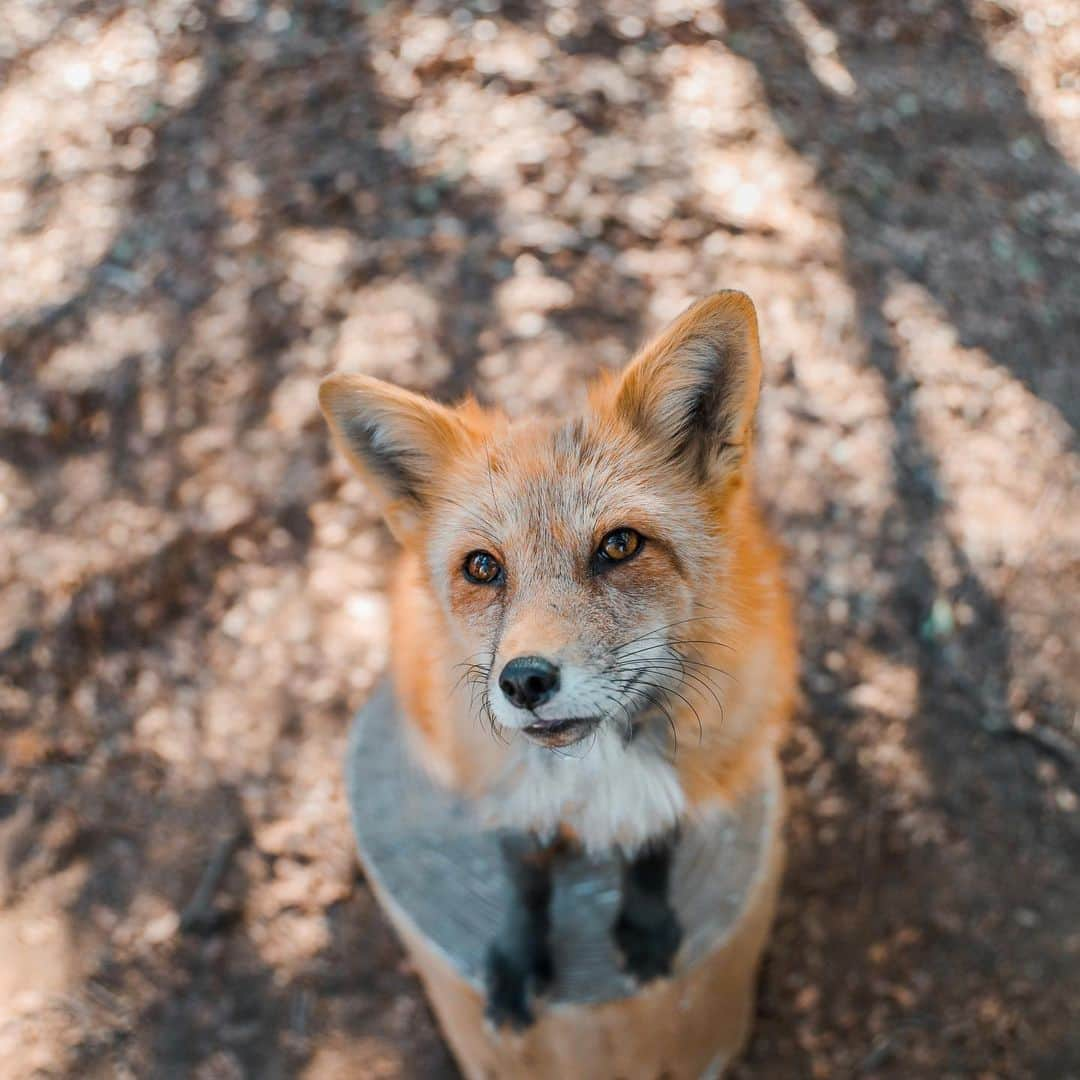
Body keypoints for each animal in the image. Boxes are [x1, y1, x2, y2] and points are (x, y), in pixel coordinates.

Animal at [315, 289, 799, 1028]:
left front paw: (645, 924)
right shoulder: (502, 779)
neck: (594, 765)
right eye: (482, 567)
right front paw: (519, 958)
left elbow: (653, 845)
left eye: (620, 546)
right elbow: (524, 878)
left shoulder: (700, 757)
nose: (524, 681)